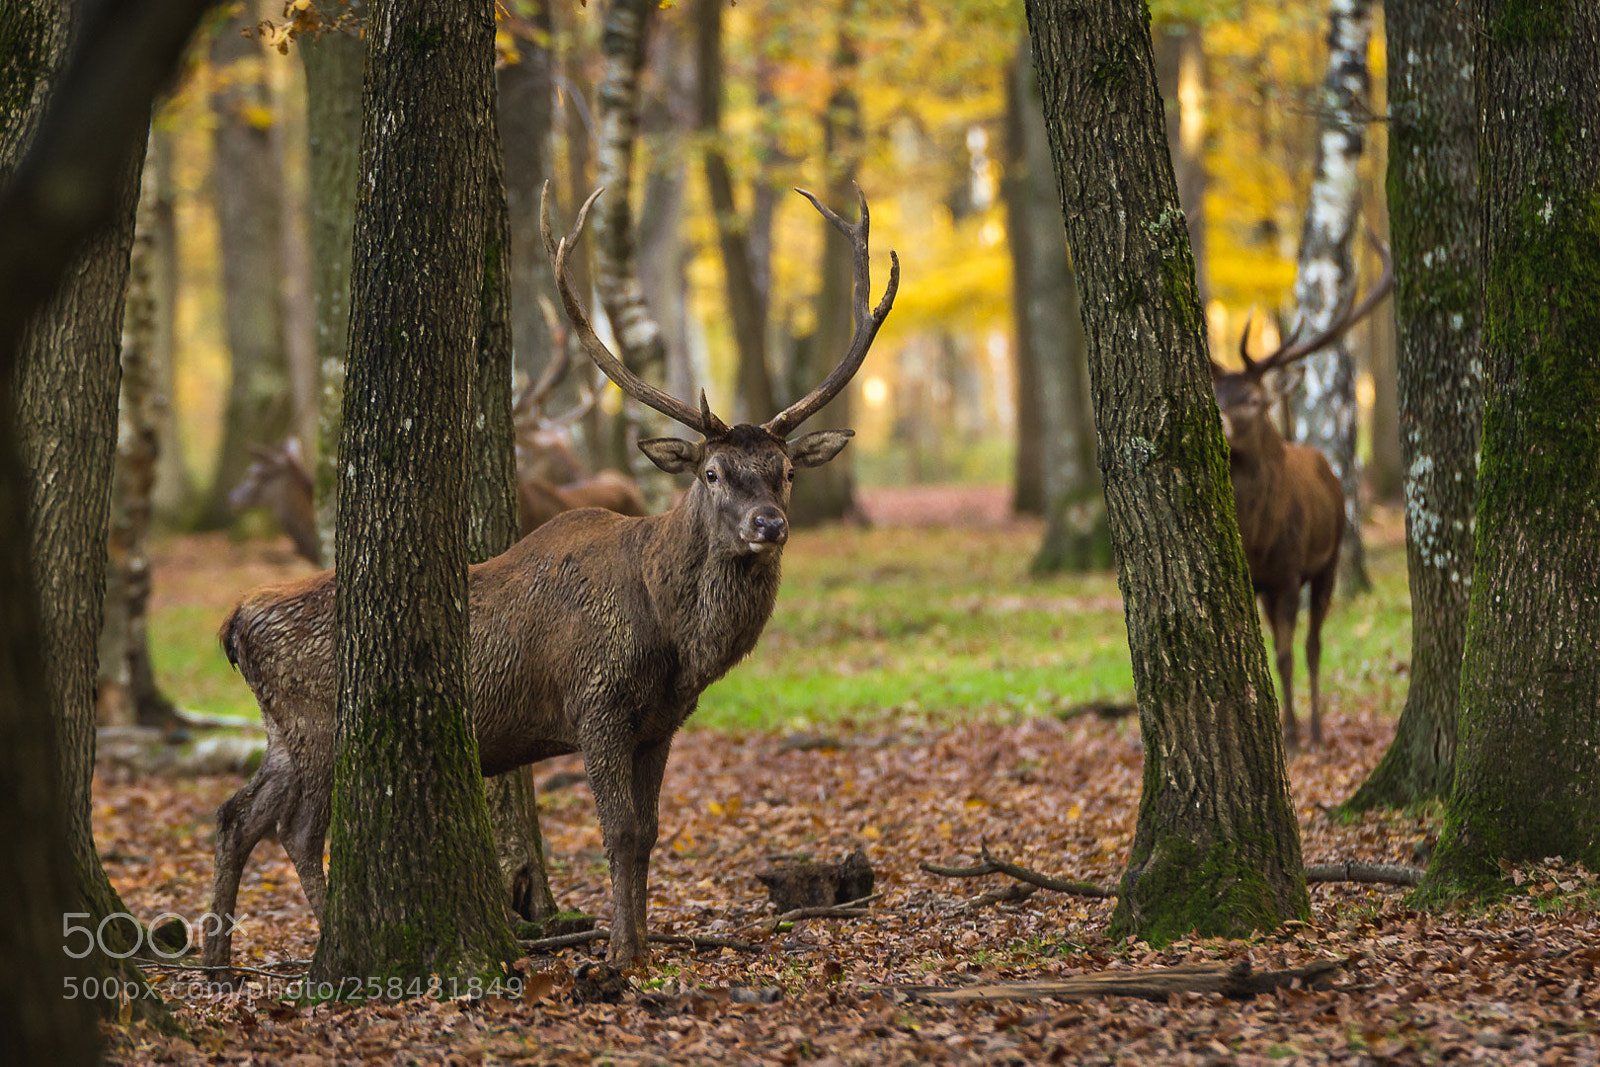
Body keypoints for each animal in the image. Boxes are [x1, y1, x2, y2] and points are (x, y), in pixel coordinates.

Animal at [201, 183, 898, 971]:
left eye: (785, 472)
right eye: (713, 472)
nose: (768, 525)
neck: (671, 637)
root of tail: (235, 621)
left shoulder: (661, 723)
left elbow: (648, 833)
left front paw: (640, 945)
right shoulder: (595, 699)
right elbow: (618, 830)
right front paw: (620, 955)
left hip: (283, 729)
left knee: (236, 814)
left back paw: (217, 959)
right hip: (318, 723)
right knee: (297, 828)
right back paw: (325, 949)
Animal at [1210, 241, 1393, 749]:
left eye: (1254, 399)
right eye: (1212, 393)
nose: (1221, 424)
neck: (1258, 536)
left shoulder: (1290, 571)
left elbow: (1289, 654)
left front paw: (1293, 735)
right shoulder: (1257, 582)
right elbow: (1272, 656)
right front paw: (1284, 726)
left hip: (1328, 561)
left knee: (1314, 645)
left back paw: (1314, 728)